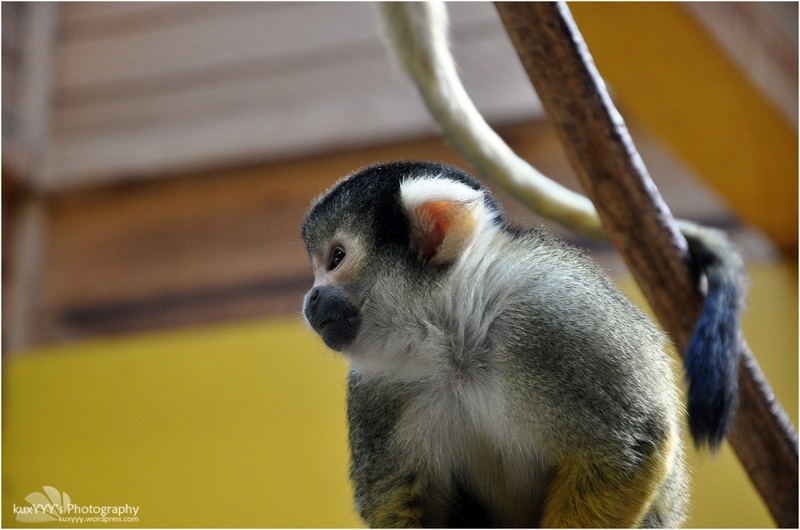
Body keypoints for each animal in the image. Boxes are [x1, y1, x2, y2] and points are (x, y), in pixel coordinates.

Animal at [302, 160, 692, 527]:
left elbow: (628, 446)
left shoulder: (555, 316)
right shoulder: (375, 388)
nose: (311, 299)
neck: (454, 340)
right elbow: (393, 497)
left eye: (336, 258)